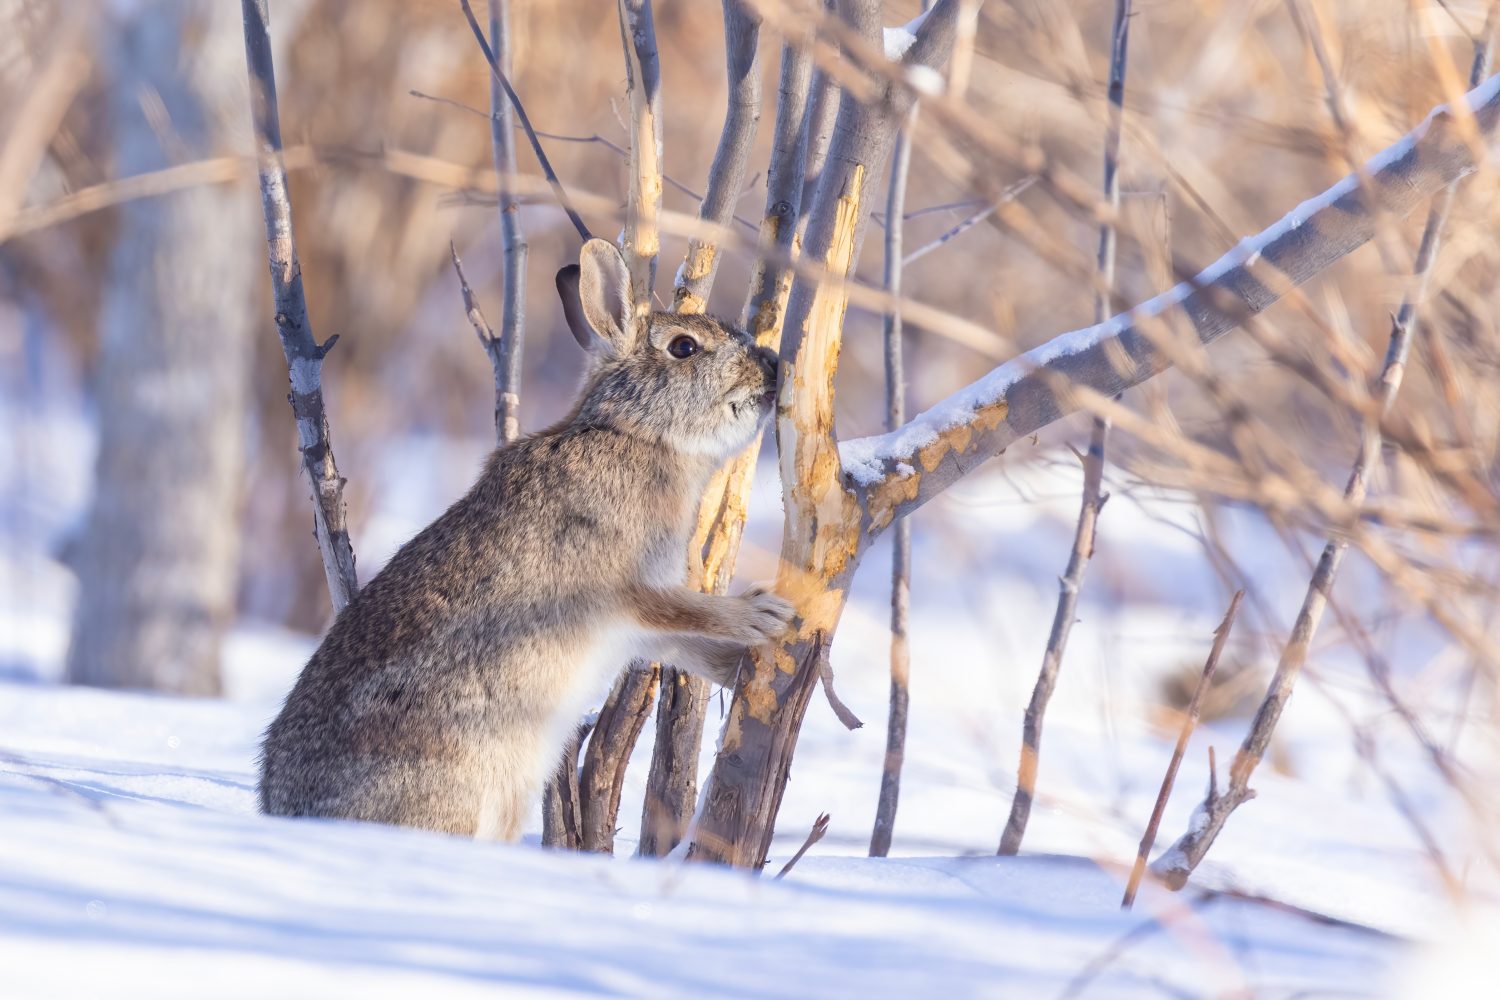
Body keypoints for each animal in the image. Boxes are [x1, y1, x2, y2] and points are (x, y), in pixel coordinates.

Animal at [258, 238, 798, 839]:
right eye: (684, 347)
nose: (772, 366)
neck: (636, 434)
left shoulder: (635, 627)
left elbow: (683, 647)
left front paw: (748, 668)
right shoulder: (625, 589)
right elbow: (693, 614)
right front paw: (764, 615)